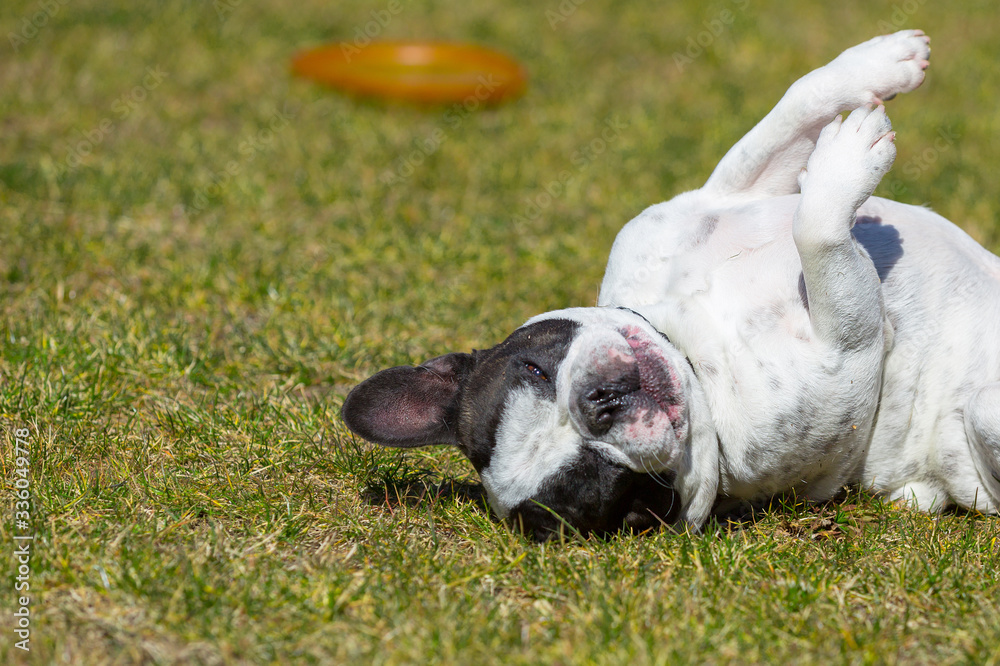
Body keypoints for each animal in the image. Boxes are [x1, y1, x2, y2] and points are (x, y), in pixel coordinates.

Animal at [342, 32, 1000, 540]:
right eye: (612, 484)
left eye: (535, 368)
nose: (598, 404)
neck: (692, 349)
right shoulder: (847, 352)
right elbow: (818, 231)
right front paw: (848, 162)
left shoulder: (725, 196)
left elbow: (791, 110)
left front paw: (883, 61)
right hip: (986, 412)